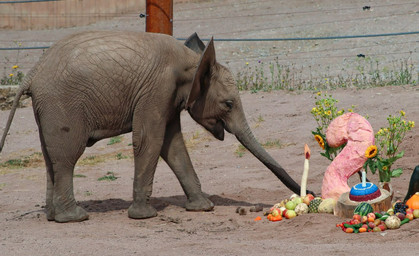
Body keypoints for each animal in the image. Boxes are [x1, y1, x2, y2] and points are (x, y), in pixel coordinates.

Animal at [0, 31, 316, 222]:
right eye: (228, 104)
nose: (310, 194)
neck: (192, 61)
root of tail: (31, 75)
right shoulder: (157, 90)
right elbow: (149, 140)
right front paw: (144, 216)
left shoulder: (170, 98)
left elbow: (172, 146)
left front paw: (203, 208)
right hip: (62, 104)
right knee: (67, 156)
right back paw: (75, 217)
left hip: (48, 109)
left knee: (50, 157)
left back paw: (53, 217)